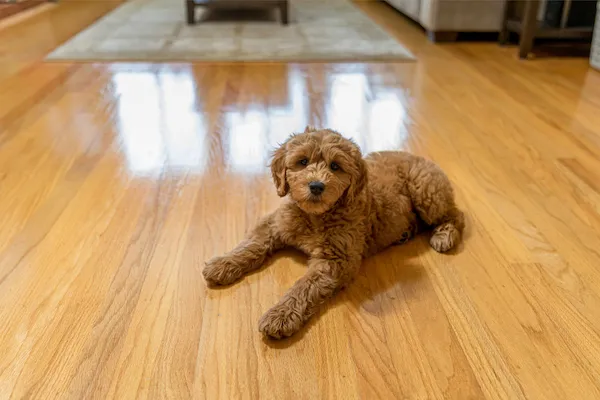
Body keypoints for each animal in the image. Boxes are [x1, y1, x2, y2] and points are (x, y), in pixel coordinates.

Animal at [202, 126, 464, 340]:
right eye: (302, 162)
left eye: (335, 166)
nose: (316, 186)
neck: (315, 216)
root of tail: (420, 157)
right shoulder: (275, 224)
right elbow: (251, 244)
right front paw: (223, 263)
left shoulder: (337, 259)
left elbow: (304, 286)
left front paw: (281, 314)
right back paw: (406, 232)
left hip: (426, 192)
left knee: (455, 214)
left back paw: (444, 236)